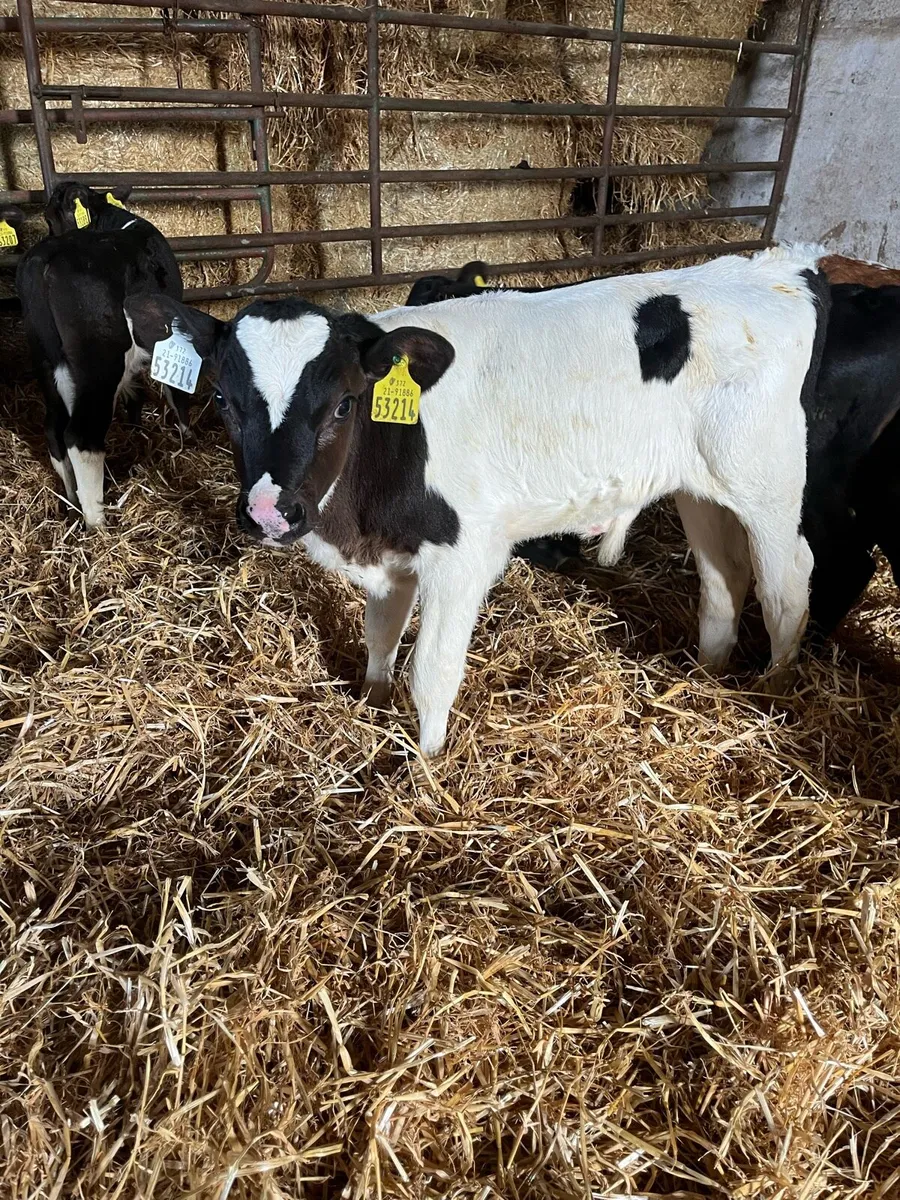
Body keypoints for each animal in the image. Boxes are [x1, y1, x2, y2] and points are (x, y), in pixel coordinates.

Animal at [16, 182, 190, 527]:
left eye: (50, 216)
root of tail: (45, 258)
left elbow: (135, 393)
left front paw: (138, 430)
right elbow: (174, 392)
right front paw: (189, 438)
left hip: (47, 363)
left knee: (54, 431)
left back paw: (72, 502)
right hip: (100, 363)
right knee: (81, 438)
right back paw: (97, 522)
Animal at [126, 245, 828, 757]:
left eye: (344, 404)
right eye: (222, 400)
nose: (272, 510)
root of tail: (774, 269)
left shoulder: (463, 556)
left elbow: (432, 673)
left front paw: (425, 768)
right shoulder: (393, 555)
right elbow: (380, 636)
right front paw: (372, 703)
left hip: (767, 481)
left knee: (787, 582)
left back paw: (776, 694)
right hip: (698, 485)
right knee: (723, 580)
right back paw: (706, 678)